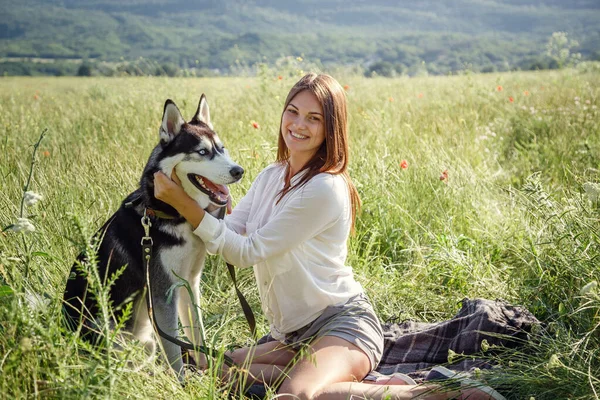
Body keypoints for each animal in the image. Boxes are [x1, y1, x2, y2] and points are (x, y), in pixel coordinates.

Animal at [62, 95, 243, 376]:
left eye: (221, 149)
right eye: (202, 152)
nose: (238, 171)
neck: (172, 214)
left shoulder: (189, 282)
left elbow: (197, 332)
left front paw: (206, 370)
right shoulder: (163, 292)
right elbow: (174, 349)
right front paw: (182, 380)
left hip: (145, 343)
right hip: (109, 331)